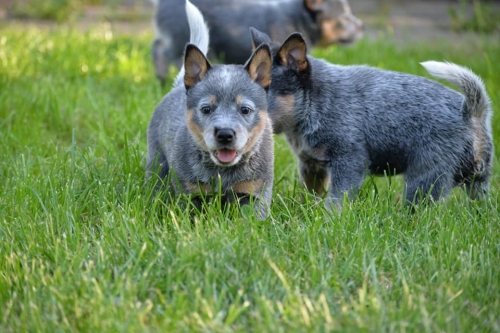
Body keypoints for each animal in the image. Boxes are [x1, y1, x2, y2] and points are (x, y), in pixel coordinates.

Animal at [146, 0, 276, 218]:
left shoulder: (254, 192)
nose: (224, 134)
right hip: (157, 157)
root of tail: (178, 86)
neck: (222, 172)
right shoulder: (191, 192)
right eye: (206, 109)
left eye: (245, 110)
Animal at [150, 0, 362, 85]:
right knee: (165, 53)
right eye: (344, 18)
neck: (298, 16)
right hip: (179, 38)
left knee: (157, 45)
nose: (361, 25)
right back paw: (163, 78)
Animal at [250, 28, 492, 210]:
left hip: (425, 177)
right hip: (477, 181)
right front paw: (306, 211)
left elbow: (336, 201)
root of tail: (469, 112)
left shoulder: (349, 162)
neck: (312, 105)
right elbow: (310, 194)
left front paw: (329, 219)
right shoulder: (312, 165)